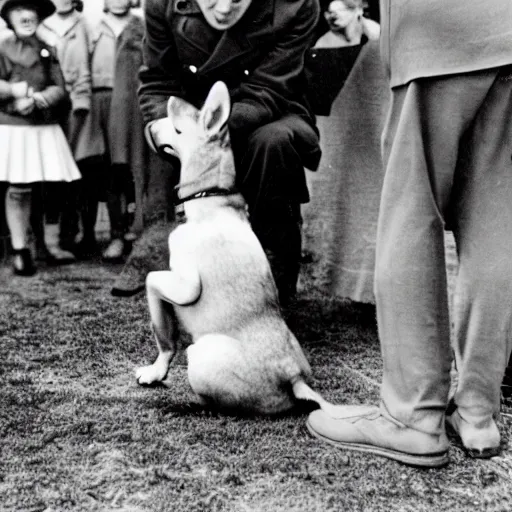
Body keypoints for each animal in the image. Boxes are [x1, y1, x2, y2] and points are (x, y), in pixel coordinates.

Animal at [136, 81, 336, 416]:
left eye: (177, 129)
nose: (150, 128)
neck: (213, 201)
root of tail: (294, 379)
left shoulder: (184, 285)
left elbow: (163, 326)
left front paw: (155, 372)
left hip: (200, 354)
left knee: (219, 404)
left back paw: (185, 405)